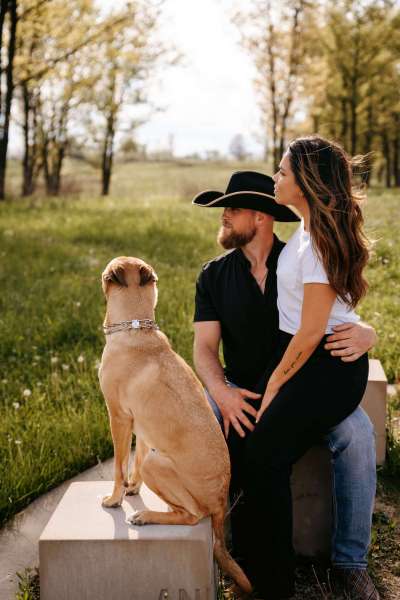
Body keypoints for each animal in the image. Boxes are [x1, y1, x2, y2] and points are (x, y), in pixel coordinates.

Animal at [99, 256, 252, 596]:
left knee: (192, 516)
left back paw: (146, 516)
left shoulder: (119, 417)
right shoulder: (141, 426)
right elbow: (135, 463)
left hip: (159, 466)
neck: (135, 327)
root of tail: (220, 504)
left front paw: (115, 499)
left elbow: (119, 466)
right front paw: (132, 489)